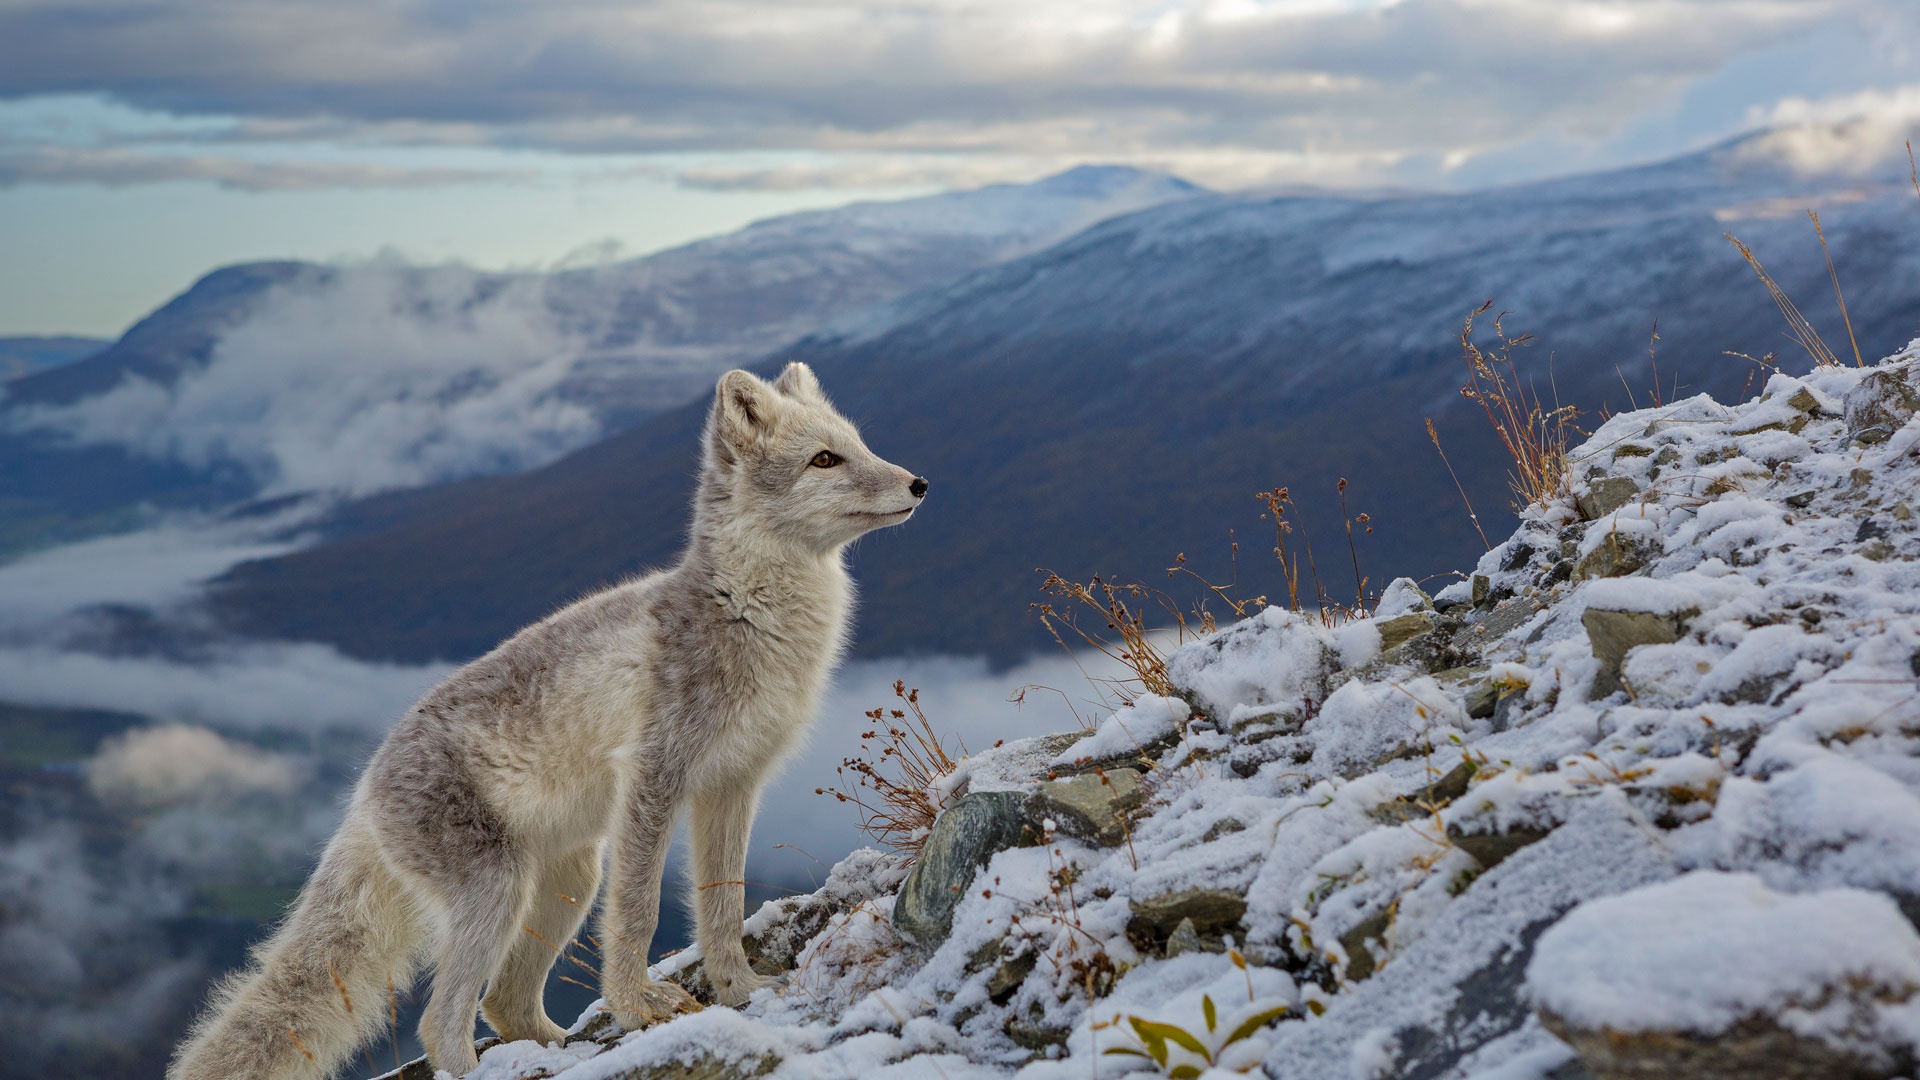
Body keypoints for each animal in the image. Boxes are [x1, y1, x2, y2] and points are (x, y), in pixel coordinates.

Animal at [172, 363, 929, 1076]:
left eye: (859, 445)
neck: (748, 614)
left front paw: (740, 992)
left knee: (505, 1006)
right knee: (443, 1022)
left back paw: (555, 1046)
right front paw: (636, 1007)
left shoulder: (733, 787)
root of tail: (364, 786)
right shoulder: (654, 780)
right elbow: (640, 913)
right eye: (824, 460)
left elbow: (722, 909)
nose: (920, 483)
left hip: (568, 882)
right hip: (500, 891)